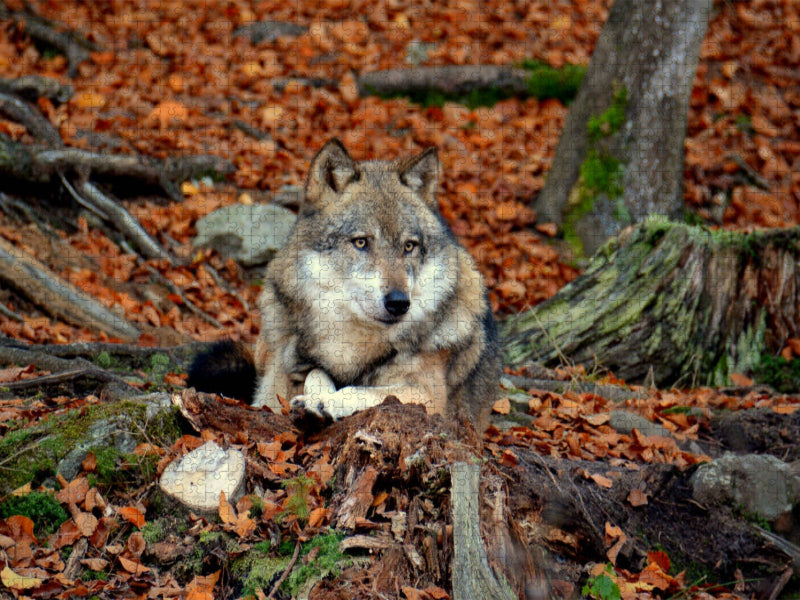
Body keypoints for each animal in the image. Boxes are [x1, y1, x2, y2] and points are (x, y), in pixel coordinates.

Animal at [188, 139, 499, 426]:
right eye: (361, 242)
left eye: (409, 246)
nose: (399, 303)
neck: (356, 345)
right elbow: (317, 372)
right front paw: (317, 397)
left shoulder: (429, 396)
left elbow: (366, 391)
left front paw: (326, 402)